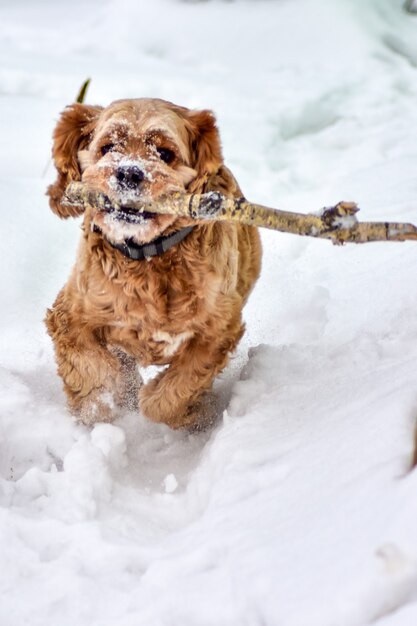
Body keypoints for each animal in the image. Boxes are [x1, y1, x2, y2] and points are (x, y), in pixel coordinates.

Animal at [44, 98, 260, 428]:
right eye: (108, 147)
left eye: (165, 153)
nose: (129, 174)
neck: (147, 259)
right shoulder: (69, 314)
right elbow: (91, 367)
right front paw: (99, 407)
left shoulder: (219, 328)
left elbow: (177, 389)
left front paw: (184, 411)